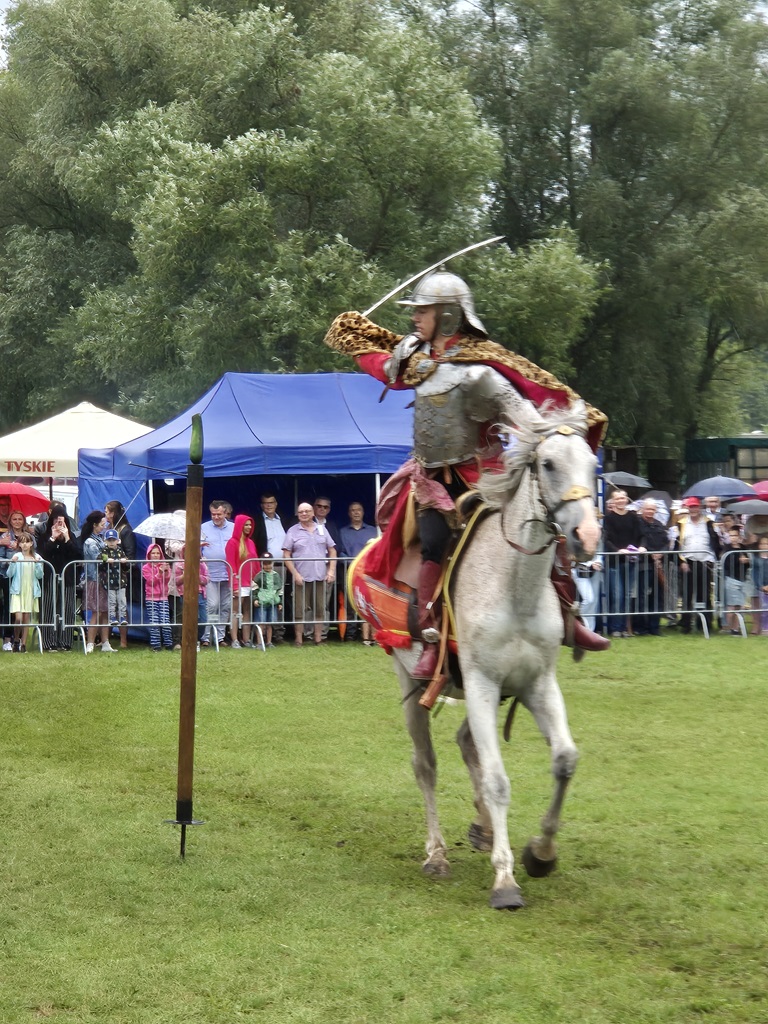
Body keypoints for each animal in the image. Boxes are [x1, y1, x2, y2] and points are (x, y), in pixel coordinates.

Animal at [393, 401, 606, 913]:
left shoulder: (536, 683)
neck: (515, 587)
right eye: (547, 464)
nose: (587, 534)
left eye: (593, 465)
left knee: (466, 743)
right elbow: (497, 781)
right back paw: (437, 854)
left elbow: (565, 760)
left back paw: (484, 829)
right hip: (413, 683)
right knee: (426, 764)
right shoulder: (483, 682)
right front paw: (506, 880)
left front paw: (540, 854)